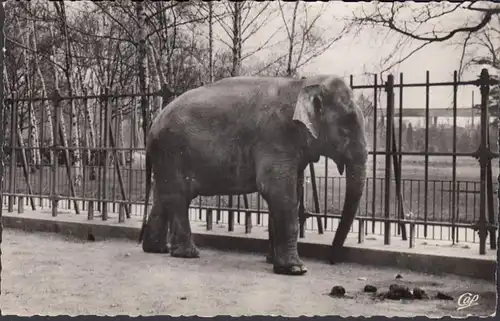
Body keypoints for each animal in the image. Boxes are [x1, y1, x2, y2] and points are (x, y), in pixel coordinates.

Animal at [137, 74, 368, 276]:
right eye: (348, 122)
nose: (332, 260)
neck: (302, 84)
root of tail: (151, 128)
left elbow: (287, 194)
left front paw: (273, 261)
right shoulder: (276, 137)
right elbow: (278, 191)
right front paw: (296, 269)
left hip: (165, 157)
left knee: (163, 196)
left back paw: (157, 249)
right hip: (172, 151)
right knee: (179, 197)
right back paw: (188, 254)